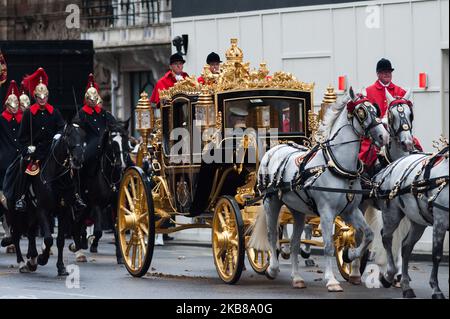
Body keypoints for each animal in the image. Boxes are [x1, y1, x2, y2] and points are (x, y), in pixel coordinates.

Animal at [250, 87, 390, 292]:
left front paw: (349, 255)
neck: (336, 166)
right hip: (271, 202)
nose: (383, 136)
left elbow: (368, 235)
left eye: (375, 109)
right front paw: (331, 280)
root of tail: (274, 149)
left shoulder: (350, 210)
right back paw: (273, 269)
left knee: (294, 243)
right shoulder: (326, 213)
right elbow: (328, 246)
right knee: (272, 235)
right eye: (362, 111)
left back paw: (297, 278)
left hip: (297, 210)